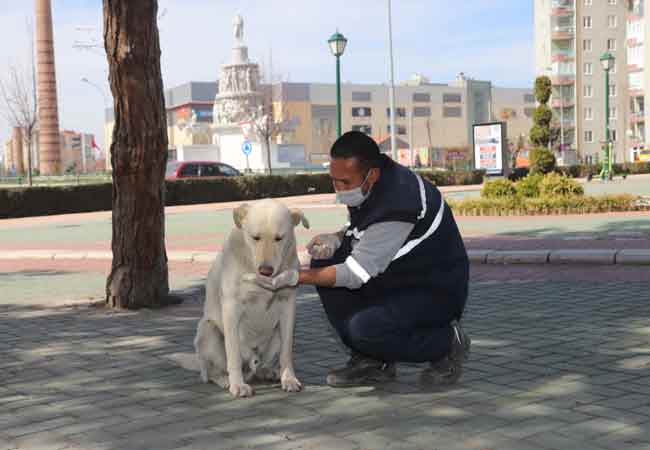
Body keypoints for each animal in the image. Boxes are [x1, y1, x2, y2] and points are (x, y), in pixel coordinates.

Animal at [195, 200, 308, 398]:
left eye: (279, 238)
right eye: (255, 237)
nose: (266, 271)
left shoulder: (288, 306)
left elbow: (286, 352)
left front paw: (288, 379)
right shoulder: (231, 308)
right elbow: (233, 353)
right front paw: (238, 385)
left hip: (275, 335)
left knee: (262, 364)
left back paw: (267, 371)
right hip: (208, 330)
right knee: (211, 372)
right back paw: (225, 380)